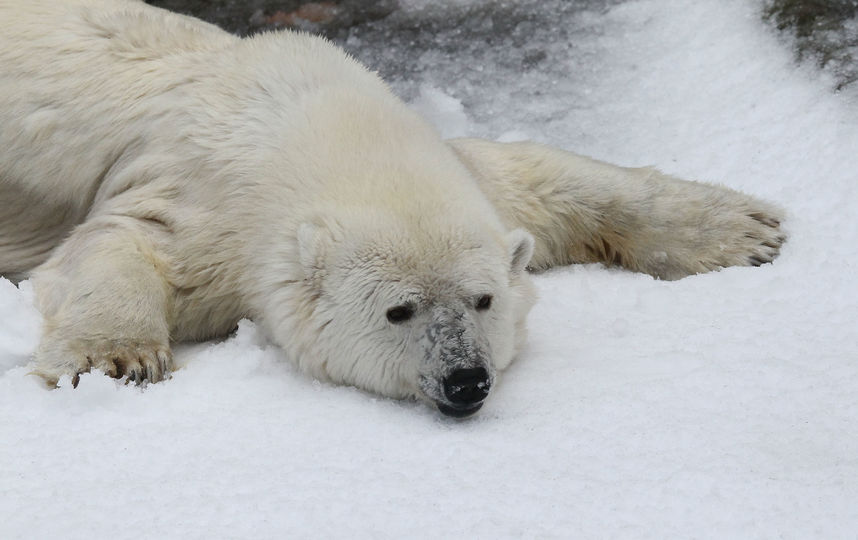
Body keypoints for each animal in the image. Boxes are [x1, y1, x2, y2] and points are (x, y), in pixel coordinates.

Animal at [0, 0, 784, 416]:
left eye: (483, 300)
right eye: (398, 310)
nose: (466, 381)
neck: (310, 125)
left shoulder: (464, 179)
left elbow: (537, 177)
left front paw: (746, 229)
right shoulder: (204, 204)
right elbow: (120, 245)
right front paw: (115, 361)